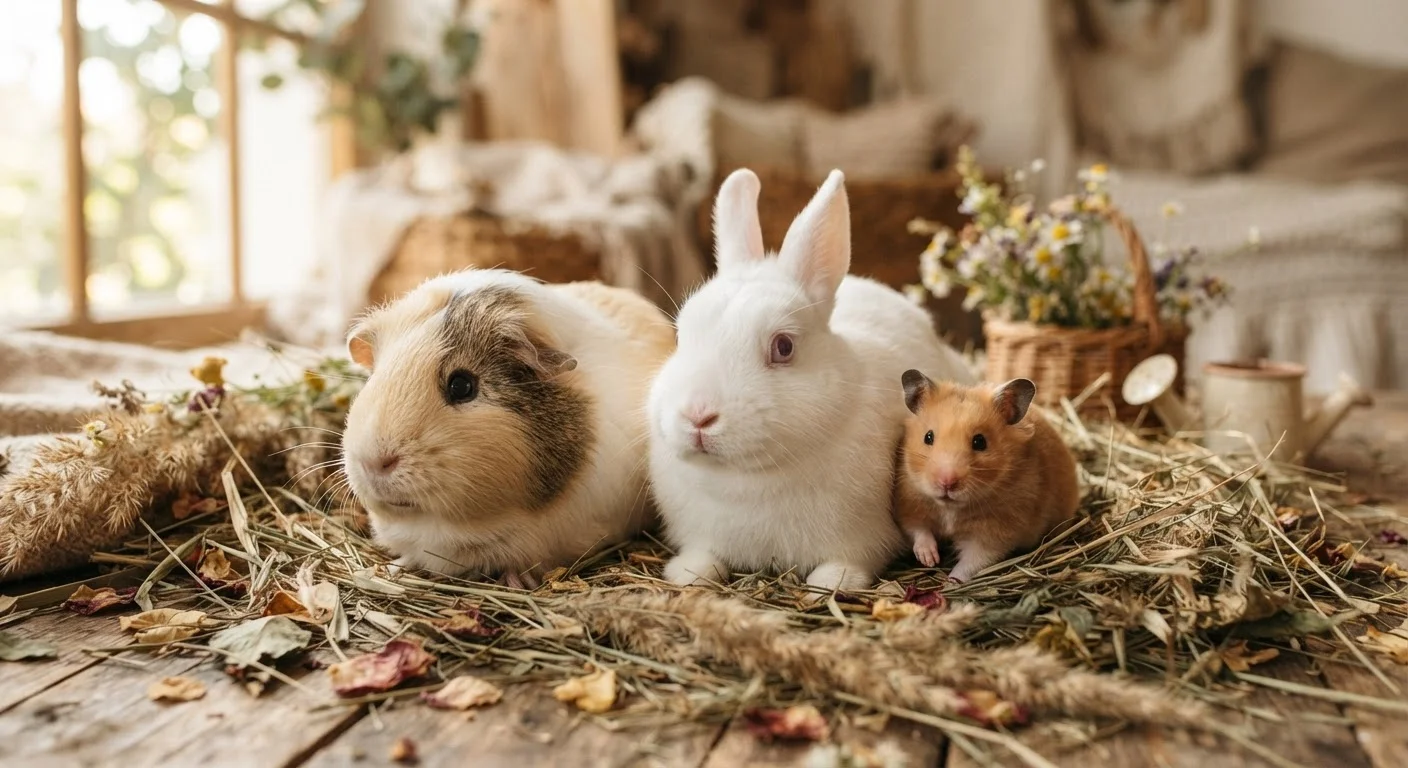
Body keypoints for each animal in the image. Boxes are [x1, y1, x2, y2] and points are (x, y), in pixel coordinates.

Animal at [647, 168, 976, 594]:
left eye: (783, 347)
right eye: (681, 336)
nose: (697, 416)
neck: (747, 476)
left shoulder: (859, 537)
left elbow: (847, 562)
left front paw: (833, 580)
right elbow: (704, 555)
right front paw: (689, 573)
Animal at [894, 372, 1079, 582]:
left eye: (980, 442)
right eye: (928, 437)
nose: (947, 483)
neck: (951, 508)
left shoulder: (994, 534)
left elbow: (972, 562)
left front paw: (951, 582)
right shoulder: (908, 504)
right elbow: (919, 531)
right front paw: (929, 559)